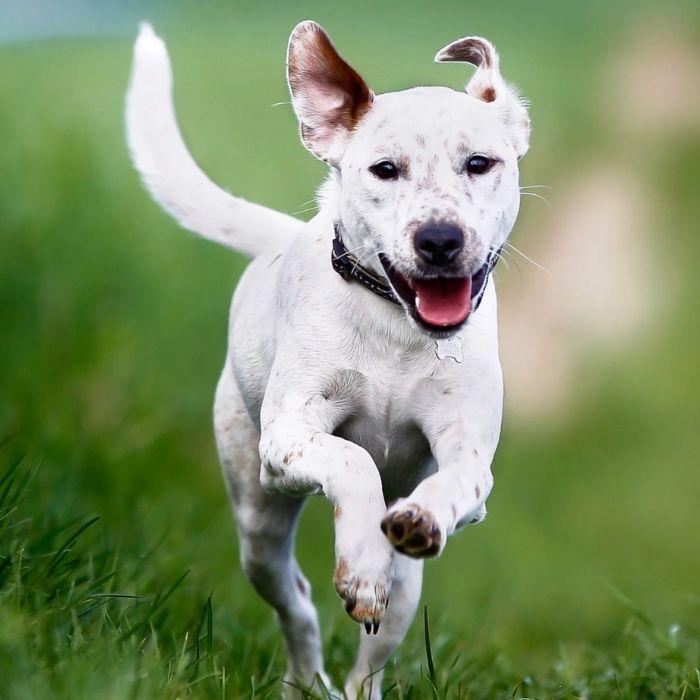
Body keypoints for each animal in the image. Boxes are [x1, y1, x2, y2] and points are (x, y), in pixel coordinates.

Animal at [126, 19, 532, 696]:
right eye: (384, 169)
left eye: (480, 163)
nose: (440, 239)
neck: (396, 325)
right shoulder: (290, 436)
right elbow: (352, 459)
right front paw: (360, 563)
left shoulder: (469, 458)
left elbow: (457, 481)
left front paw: (419, 519)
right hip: (258, 522)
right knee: (297, 601)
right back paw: (307, 675)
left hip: (406, 595)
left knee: (373, 656)